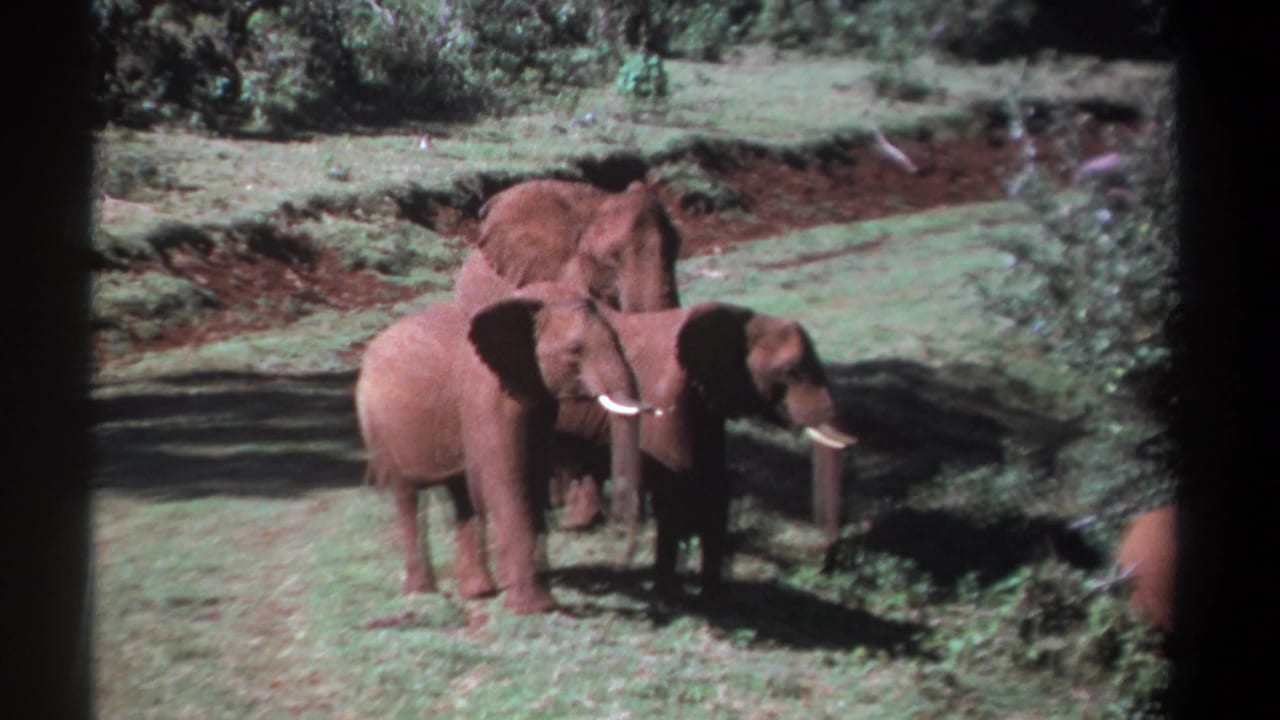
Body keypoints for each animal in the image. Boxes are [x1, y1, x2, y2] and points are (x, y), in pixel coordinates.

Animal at [354, 288, 650, 614]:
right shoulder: (486, 396)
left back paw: (477, 592)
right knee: (407, 496)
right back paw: (421, 593)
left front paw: (525, 594)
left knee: (462, 494)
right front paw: (535, 608)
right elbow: (507, 478)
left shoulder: (536, 395)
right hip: (378, 427)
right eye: (574, 349)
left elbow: (532, 478)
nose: (623, 560)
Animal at [538, 289, 857, 600]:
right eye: (791, 371)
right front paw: (668, 595)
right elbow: (675, 488)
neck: (743, 320)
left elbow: (715, 486)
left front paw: (712, 597)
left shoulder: (707, 405)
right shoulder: (667, 399)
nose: (827, 564)